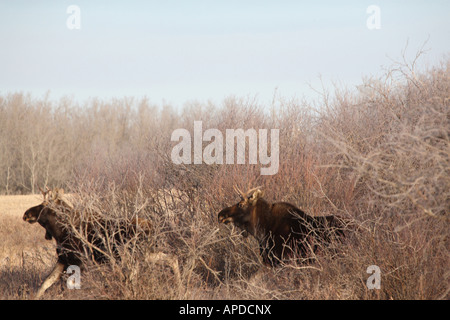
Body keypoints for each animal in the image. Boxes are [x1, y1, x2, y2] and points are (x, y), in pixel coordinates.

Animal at [23, 186, 181, 298]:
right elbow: (45, 284)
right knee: (172, 258)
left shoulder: (81, 261)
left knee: (135, 273)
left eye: (44, 204)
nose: (26, 214)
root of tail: (153, 228)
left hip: (137, 255)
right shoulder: (64, 260)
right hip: (147, 254)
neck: (60, 231)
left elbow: (68, 285)